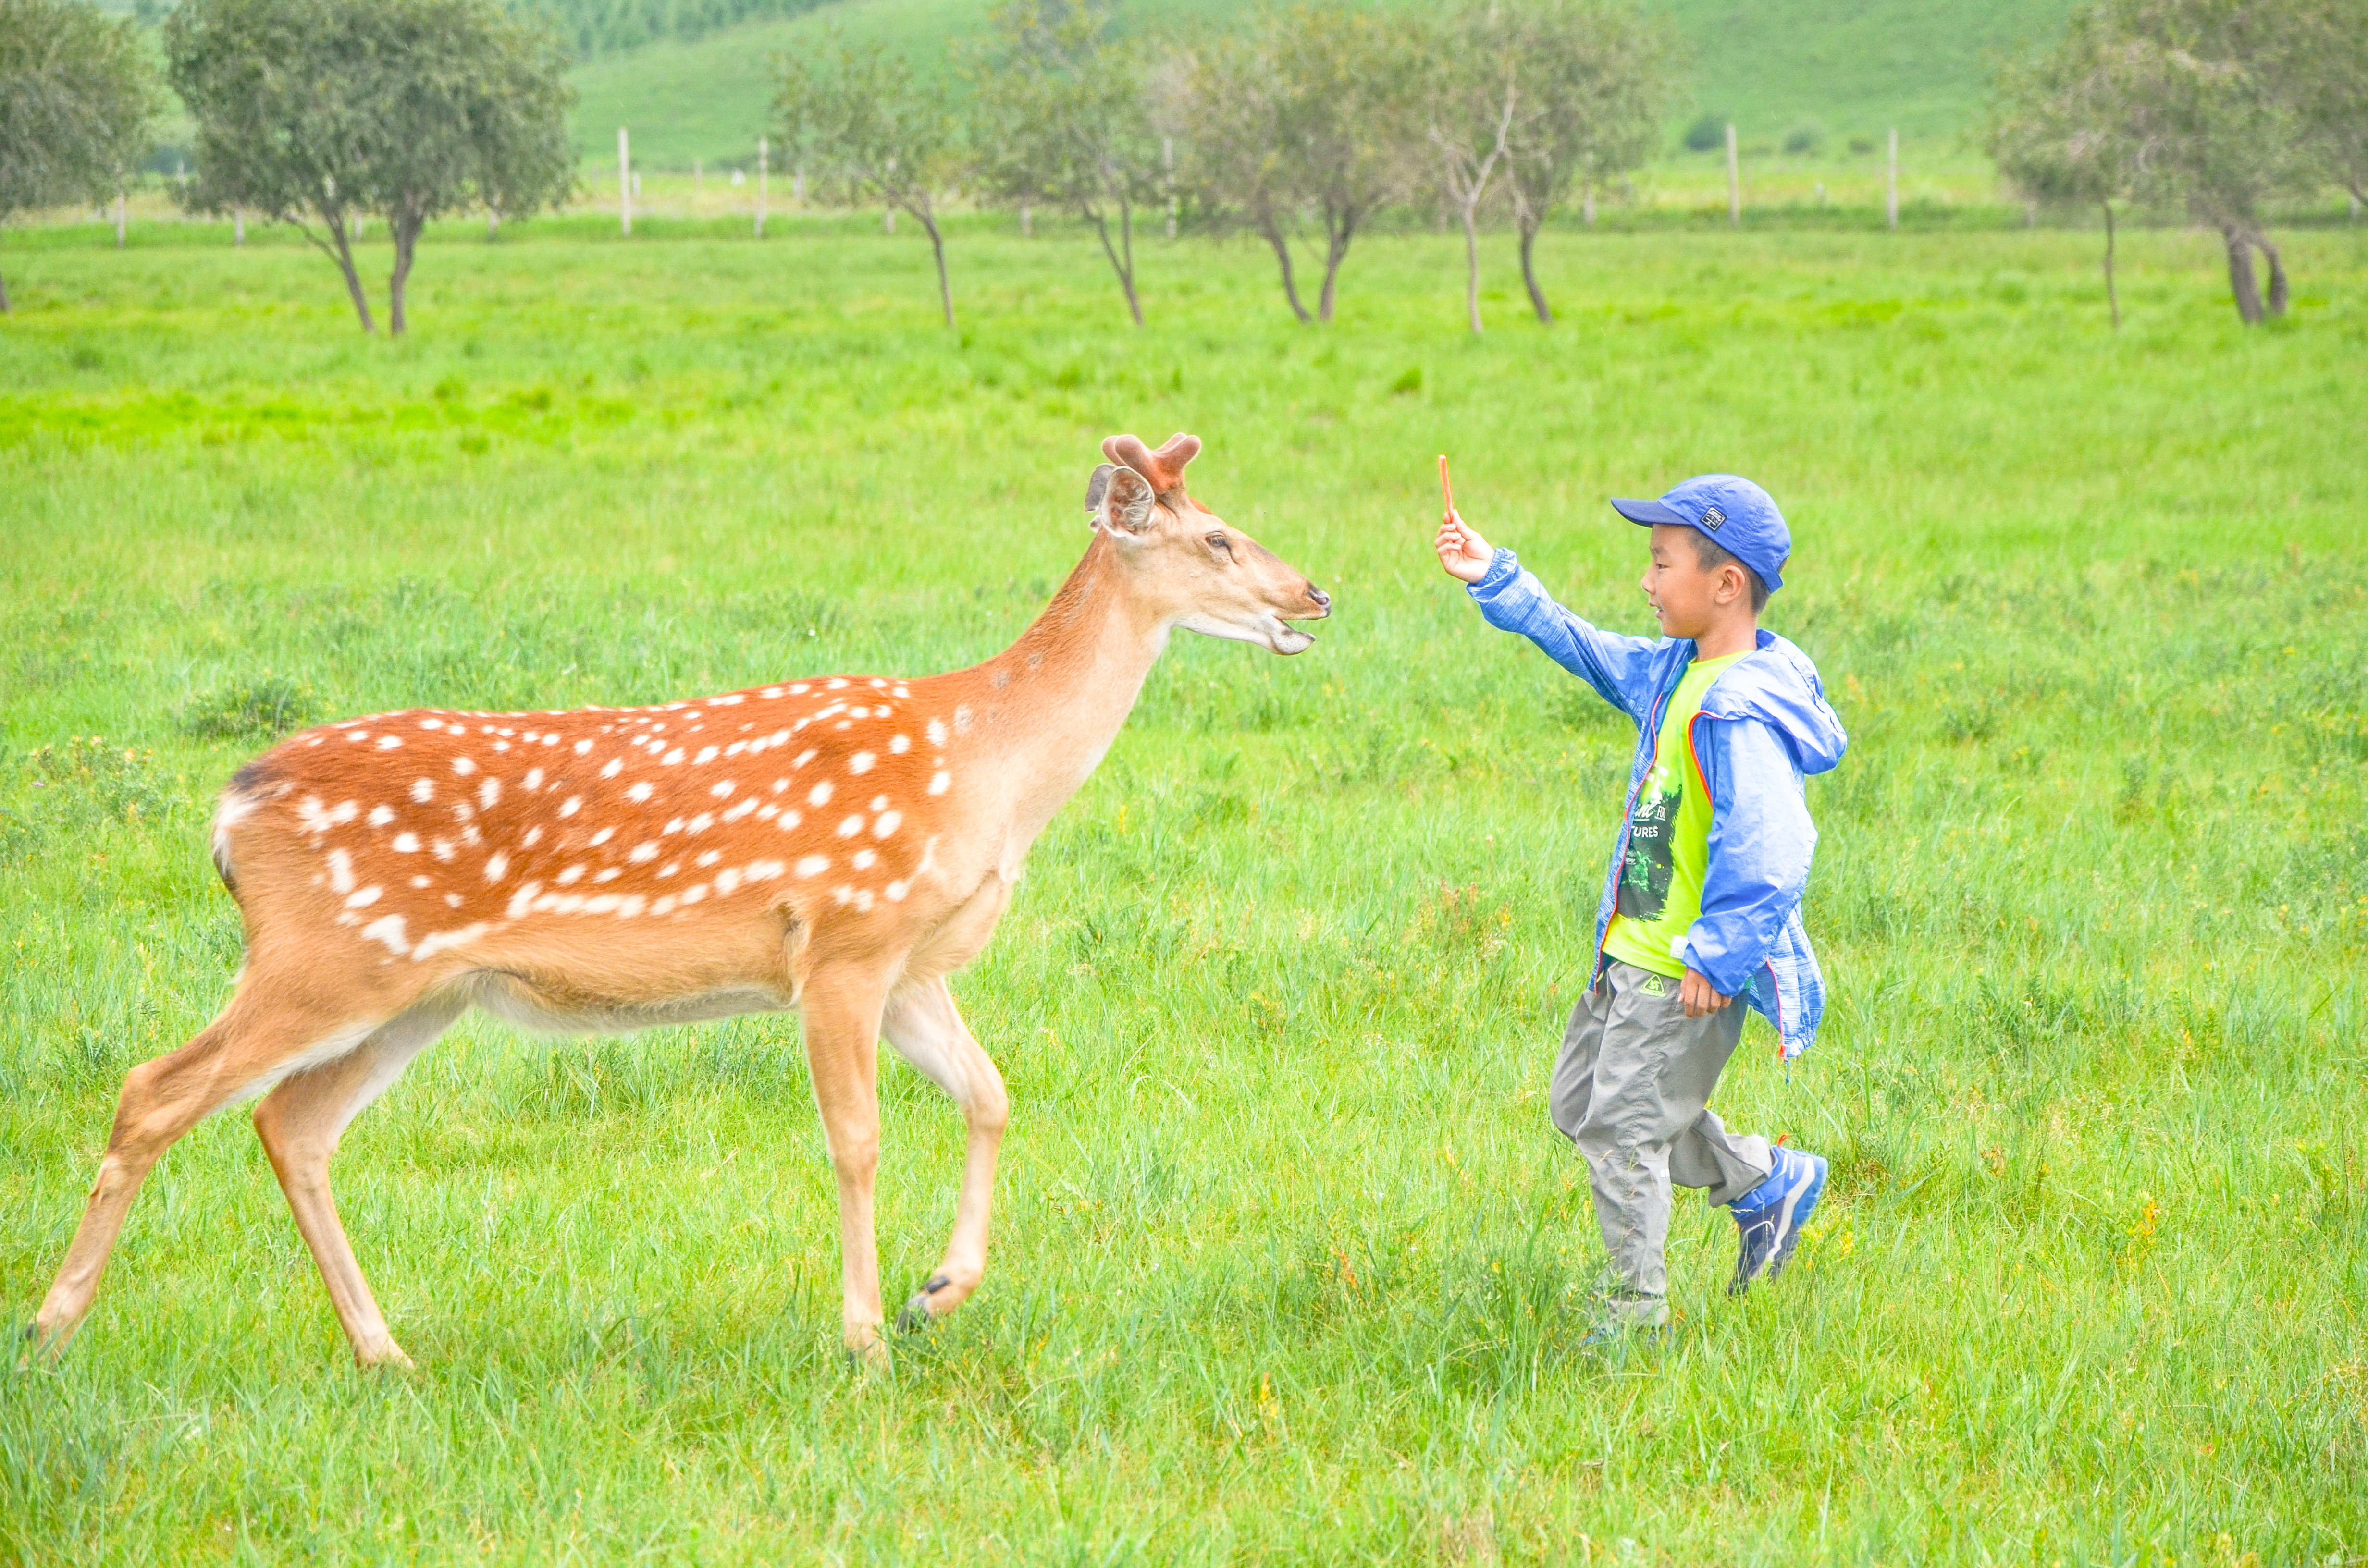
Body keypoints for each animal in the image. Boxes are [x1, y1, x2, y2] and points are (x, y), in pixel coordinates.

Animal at [27, 436, 1335, 1373]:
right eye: (1218, 537)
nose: (1313, 592)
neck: (988, 773)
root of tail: (229, 809)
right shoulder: (840, 940)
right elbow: (856, 1138)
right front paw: (866, 1338)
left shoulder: (912, 964)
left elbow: (992, 1096)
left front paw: (939, 1291)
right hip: (325, 954)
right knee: (154, 1090)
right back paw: (50, 1330)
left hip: (422, 989)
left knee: (291, 1122)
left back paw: (384, 1351)